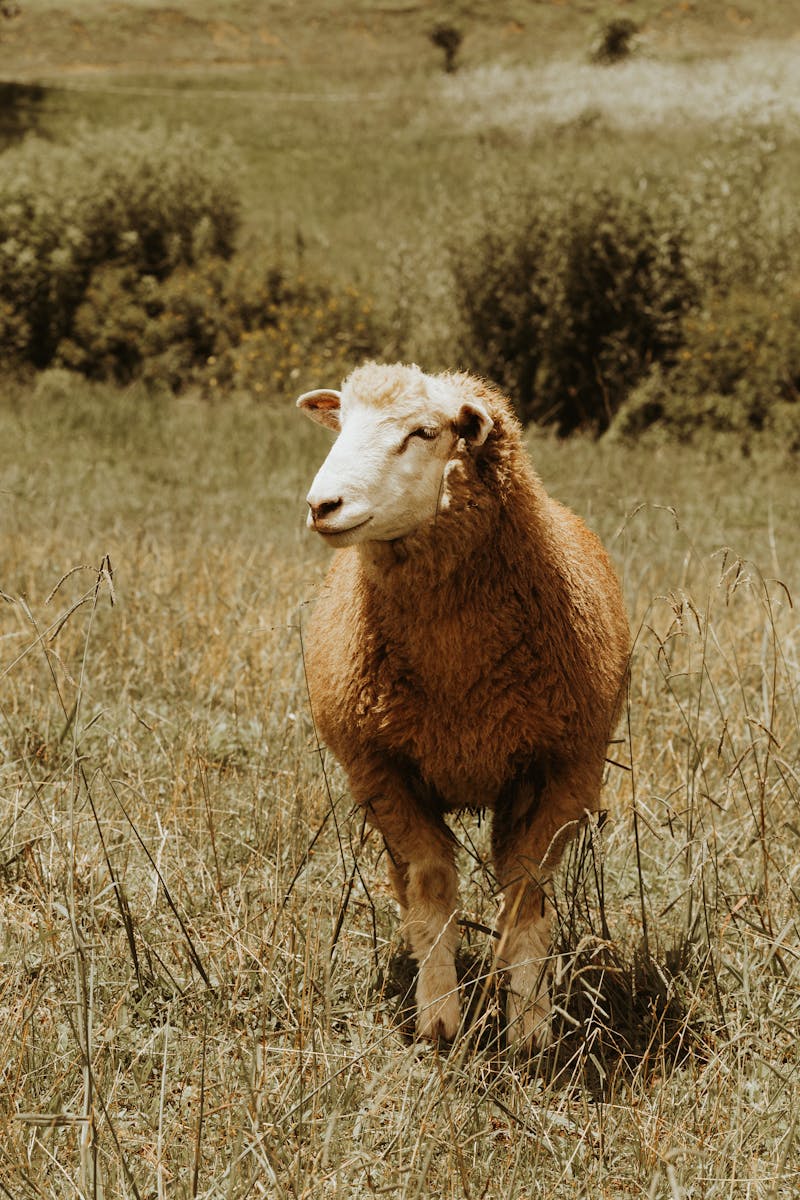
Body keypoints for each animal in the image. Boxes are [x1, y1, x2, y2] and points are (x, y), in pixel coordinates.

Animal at [296, 361, 630, 1048]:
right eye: (342, 425)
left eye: (425, 433)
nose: (322, 505)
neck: (457, 675)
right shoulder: (381, 773)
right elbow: (429, 883)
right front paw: (438, 1017)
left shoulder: (564, 771)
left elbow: (526, 890)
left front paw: (528, 1026)